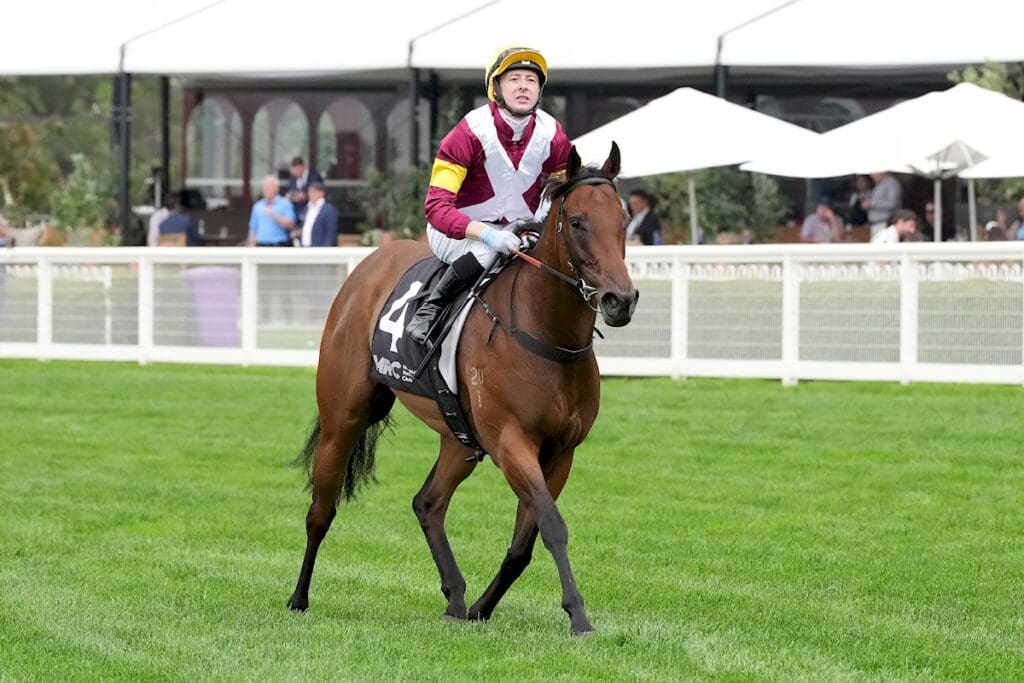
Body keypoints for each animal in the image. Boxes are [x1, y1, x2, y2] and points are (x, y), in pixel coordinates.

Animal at [287, 143, 638, 635]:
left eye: (623, 218)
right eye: (576, 221)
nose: (619, 300)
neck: (545, 334)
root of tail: (371, 262)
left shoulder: (561, 452)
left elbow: (525, 542)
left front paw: (480, 609)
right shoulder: (511, 441)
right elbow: (552, 524)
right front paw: (579, 616)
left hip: (458, 437)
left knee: (428, 503)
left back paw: (455, 598)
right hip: (344, 418)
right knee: (321, 510)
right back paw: (298, 597)